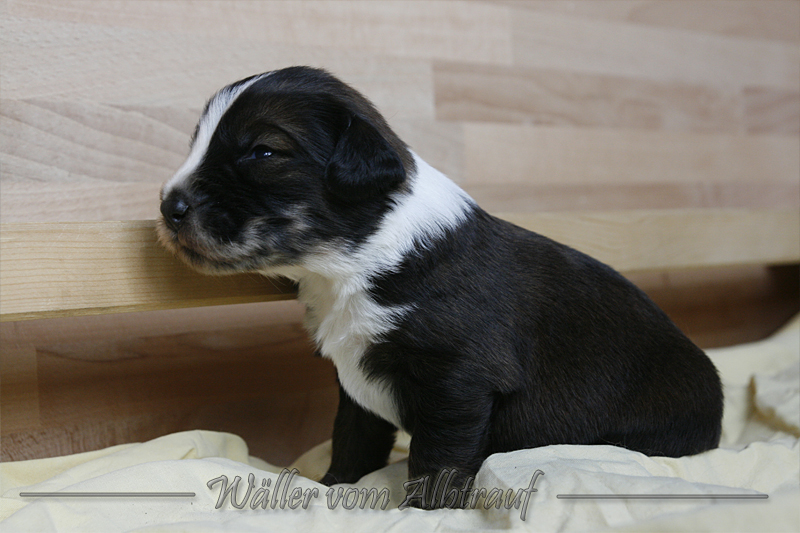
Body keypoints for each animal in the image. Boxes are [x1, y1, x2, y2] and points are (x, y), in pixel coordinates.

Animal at [158, 66, 723, 508]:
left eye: (264, 152)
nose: (168, 206)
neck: (357, 260)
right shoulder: (357, 384)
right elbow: (353, 440)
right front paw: (334, 488)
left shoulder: (458, 380)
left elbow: (437, 461)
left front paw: (419, 513)